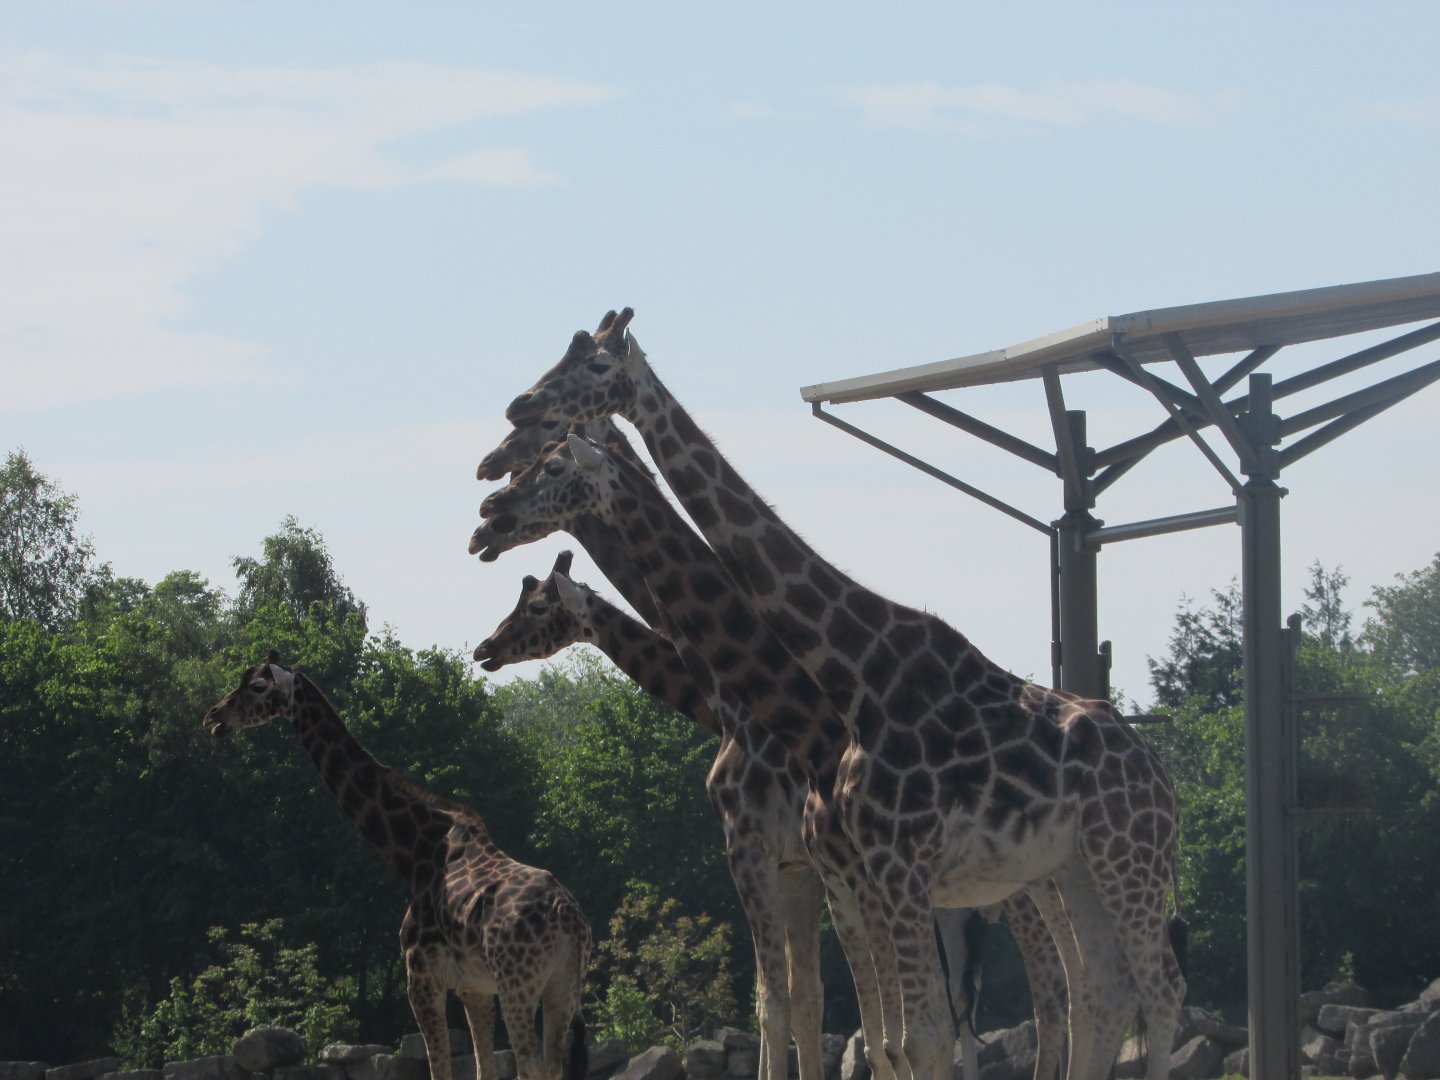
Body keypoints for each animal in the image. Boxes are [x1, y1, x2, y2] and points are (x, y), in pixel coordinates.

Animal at [202, 651, 592, 1080]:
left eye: (258, 686)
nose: (214, 715)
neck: (414, 850)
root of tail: (568, 917)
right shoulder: (474, 987)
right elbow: (482, 1067)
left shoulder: (420, 977)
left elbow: (442, 1069)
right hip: (562, 986)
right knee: (551, 1064)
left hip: (518, 984)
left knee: (531, 1065)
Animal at [474, 550, 827, 1080]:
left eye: (537, 607)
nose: (484, 649)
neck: (726, 708)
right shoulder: (794, 866)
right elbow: (802, 997)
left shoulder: (752, 849)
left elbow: (773, 999)